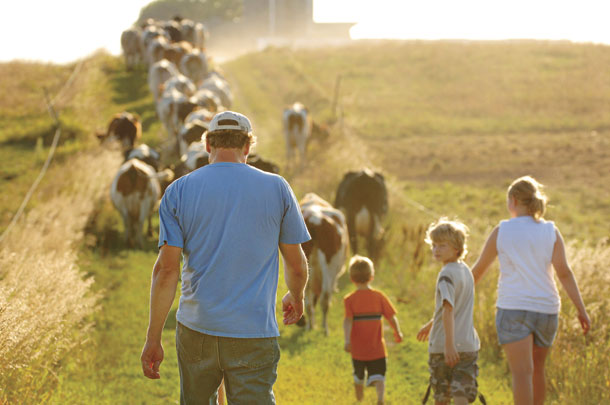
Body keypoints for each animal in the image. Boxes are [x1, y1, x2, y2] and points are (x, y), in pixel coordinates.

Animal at [298, 193, 346, 334]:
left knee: (306, 298)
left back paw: (310, 326)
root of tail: (315, 220)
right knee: (324, 296)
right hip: (329, 265)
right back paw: (324, 328)